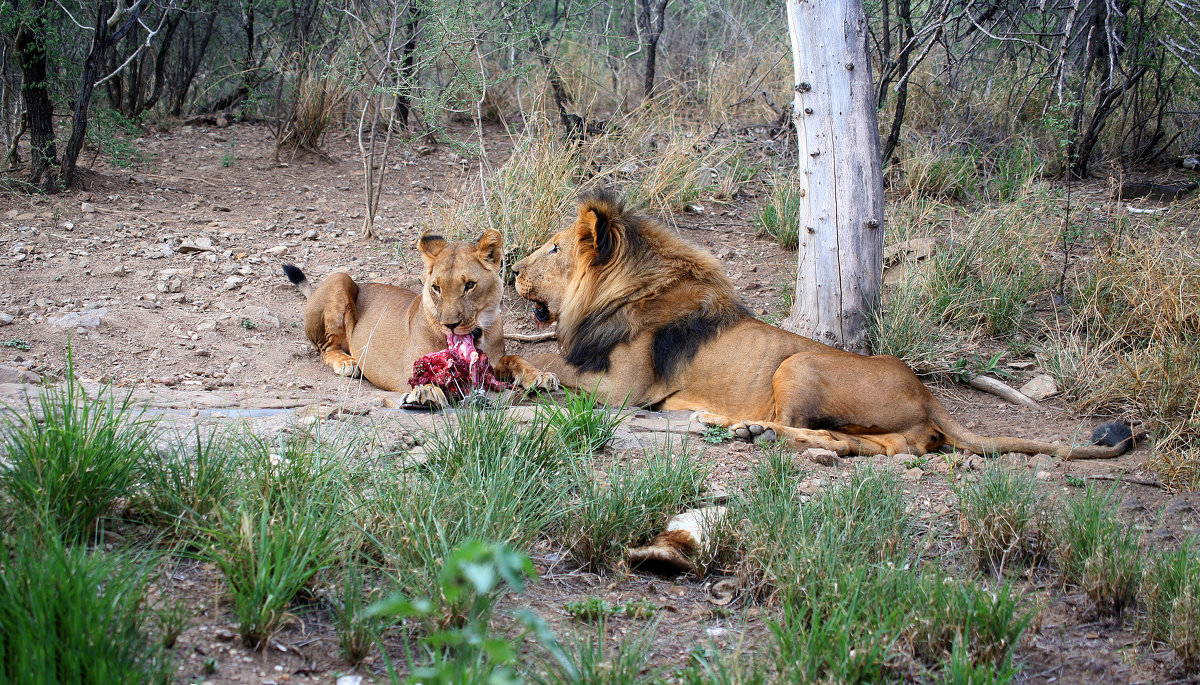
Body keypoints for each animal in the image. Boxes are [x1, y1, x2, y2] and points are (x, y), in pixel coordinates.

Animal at [284, 229, 556, 407]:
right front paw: (426, 390)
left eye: (469, 285)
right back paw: (347, 362)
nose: (450, 325)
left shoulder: (495, 361)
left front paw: (539, 375)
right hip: (340, 278)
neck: (478, 333)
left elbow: (516, 359)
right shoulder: (408, 364)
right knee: (326, 348)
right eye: (436, 287)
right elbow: (419, 374)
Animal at [513, 191, 1132, 460]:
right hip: (869, 418)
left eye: (554, 248)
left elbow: (551, 359)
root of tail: (929, 395)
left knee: (801, 427)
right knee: (879, 448)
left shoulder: (628, 389)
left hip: (798, 361)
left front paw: (521, 368)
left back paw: (737, 426)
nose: (514, 268)